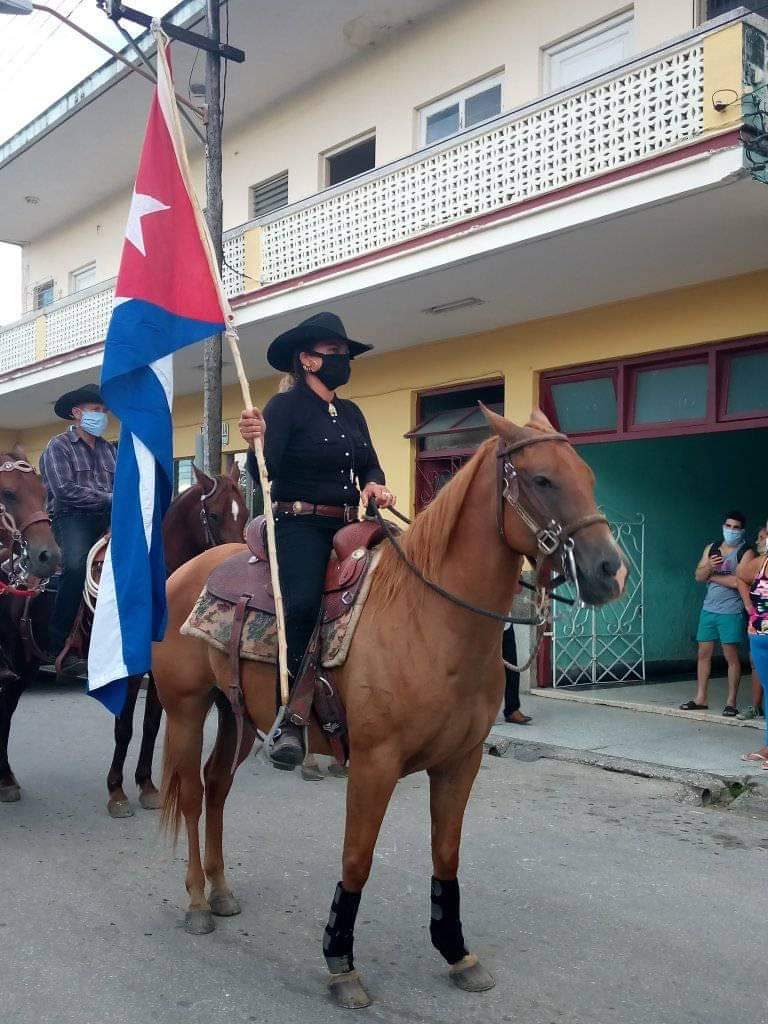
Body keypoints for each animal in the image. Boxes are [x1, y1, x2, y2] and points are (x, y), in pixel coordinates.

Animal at [105, 464, 247, 815]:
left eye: (245, 513)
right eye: (213, 515)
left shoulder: (163, 670)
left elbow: (151, 725)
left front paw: (146, 784)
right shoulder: (132, 671)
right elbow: (124, 726)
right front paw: (116, 790)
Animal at [153, 407, 626, 1007]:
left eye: (587, 475)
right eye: (543, 479)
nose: (611, 570)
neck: (430, 618)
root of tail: (190, 571)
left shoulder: (461, 762)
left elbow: (446, 855)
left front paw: (457, 952)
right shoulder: (374, 764)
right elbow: (357, 858)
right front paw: (341, 962)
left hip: (237, 713)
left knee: (217, 786)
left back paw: (220, 890)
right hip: (186, 709)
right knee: (192, 794)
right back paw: (196, 901)